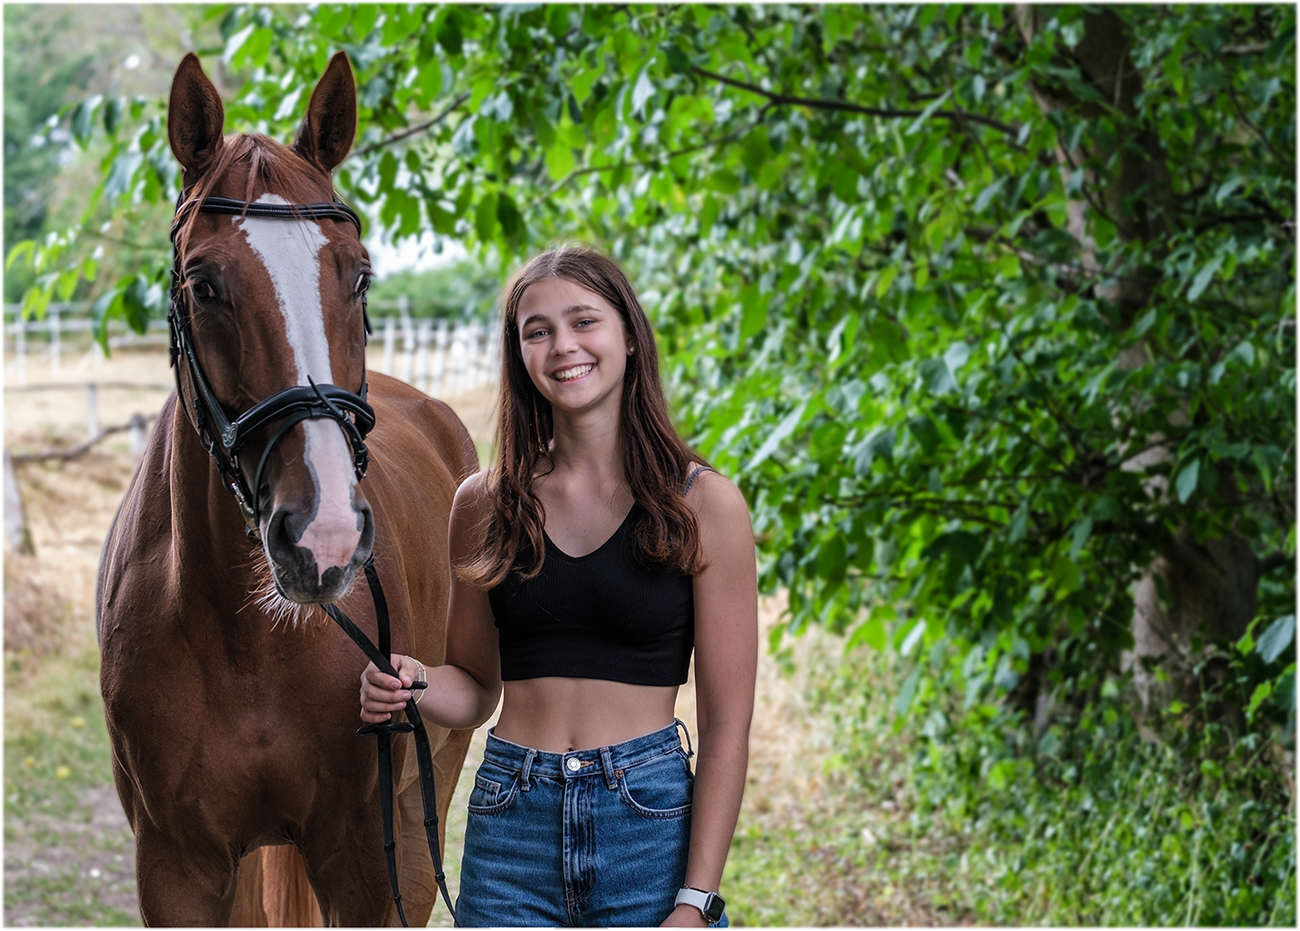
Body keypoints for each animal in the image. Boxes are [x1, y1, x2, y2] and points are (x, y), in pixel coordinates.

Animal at [96, 54, 480, 925]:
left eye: (359, 277)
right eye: (203, 285)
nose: (324, 536)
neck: (248, 641)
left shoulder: (362, 861)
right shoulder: (179, 867)